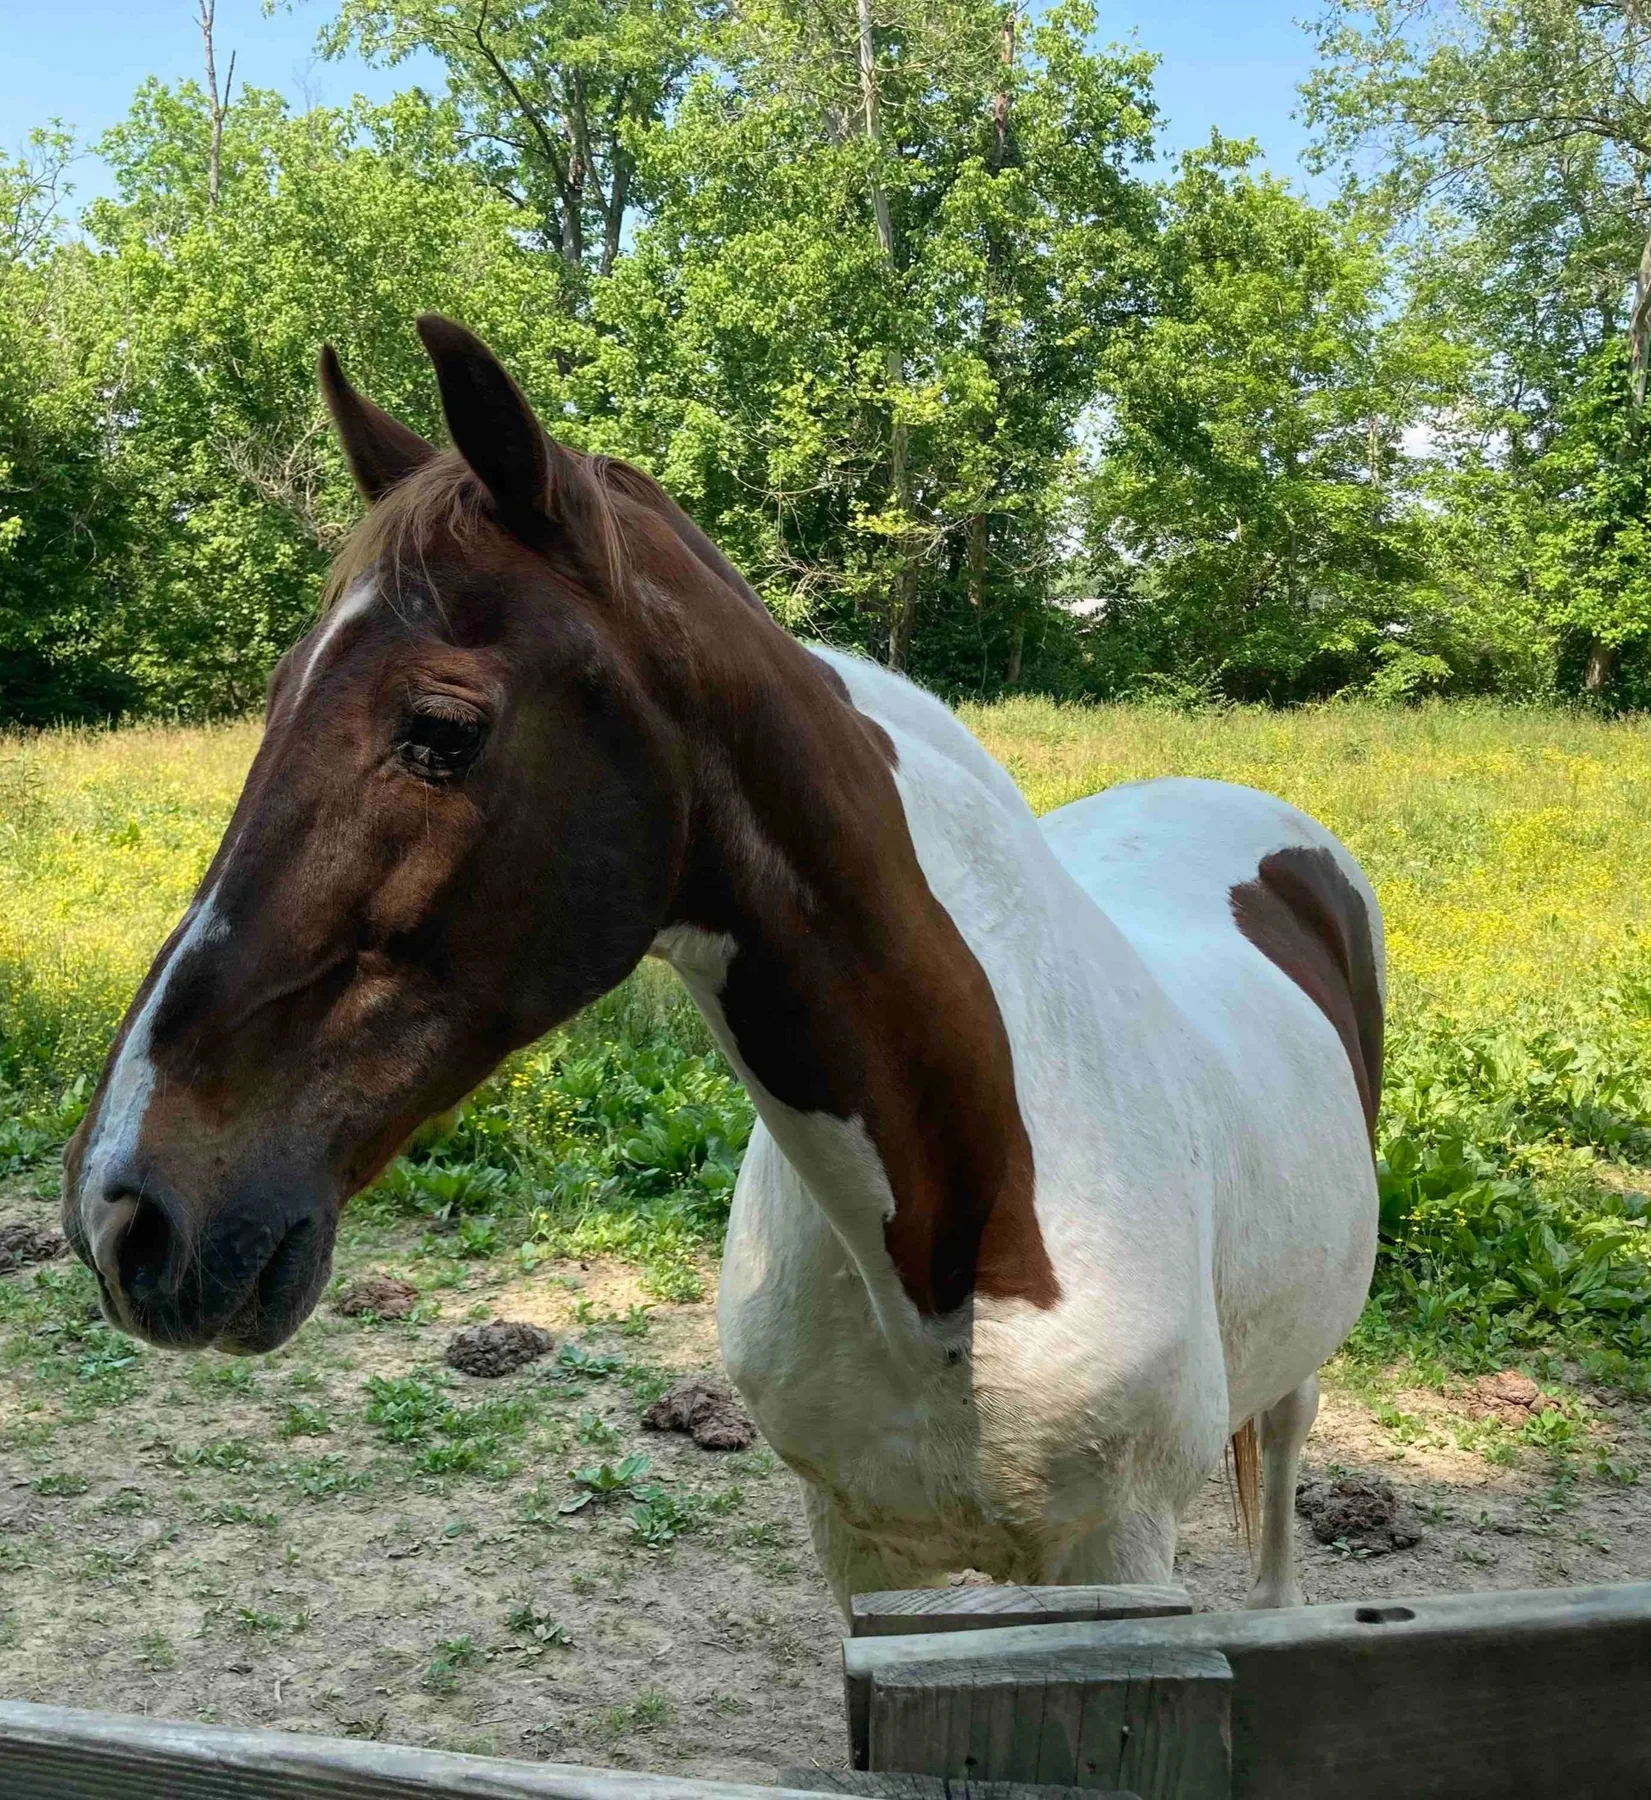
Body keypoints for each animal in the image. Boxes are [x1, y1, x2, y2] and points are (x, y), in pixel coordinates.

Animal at [62, 316, 1382, 1616]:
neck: (961, 1233)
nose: (120, 1213)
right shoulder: (858, 1549)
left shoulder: (1117, 1559)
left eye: (439, 730)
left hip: (1299, 1376)